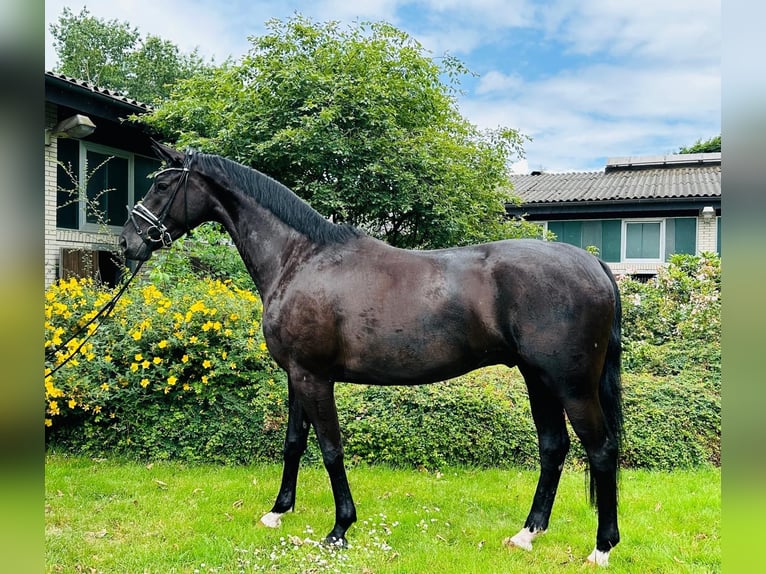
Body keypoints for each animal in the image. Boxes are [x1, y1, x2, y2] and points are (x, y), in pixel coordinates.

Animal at [120, 143, 624, 568]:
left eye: (161, 185)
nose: (128, 242)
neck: (300, 259)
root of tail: (593, 264)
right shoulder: (295, 376)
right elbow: (293, 442)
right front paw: (278, 512)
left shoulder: (314, 377)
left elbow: (330, 449)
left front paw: (340, 528)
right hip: (538, 379)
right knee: (553, 447)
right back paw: (527, 534)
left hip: (571, 385)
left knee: (600, 449)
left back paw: (601, 548)